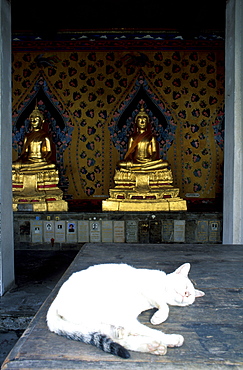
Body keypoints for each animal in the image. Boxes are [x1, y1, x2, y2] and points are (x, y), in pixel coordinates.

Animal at [46, 262, 204, 356]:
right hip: (115, 315)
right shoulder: (148, 290)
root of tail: (56, 299)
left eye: (190, 294)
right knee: (143, 332)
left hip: (111, 319)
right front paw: (158, 317)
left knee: (117, 337)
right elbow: (164, 307)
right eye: (185, 286)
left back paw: (153, 346)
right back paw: (169, 340)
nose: (186, 294)